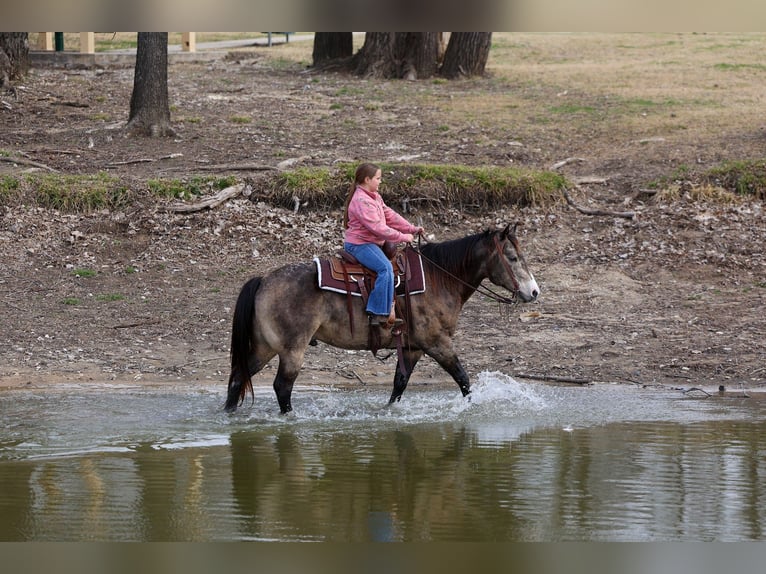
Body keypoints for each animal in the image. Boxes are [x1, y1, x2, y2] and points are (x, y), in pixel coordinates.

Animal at [225, 223, 540, 414]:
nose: (534, 292)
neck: (439, 279)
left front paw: (388, 412)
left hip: (265, 347)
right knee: (282, 386)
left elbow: (399, 383)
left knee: (238, 376)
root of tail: (264, 280)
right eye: (512, 258)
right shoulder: (437, 343)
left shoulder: (412, 348)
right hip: (291, 350)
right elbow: (462, 378)